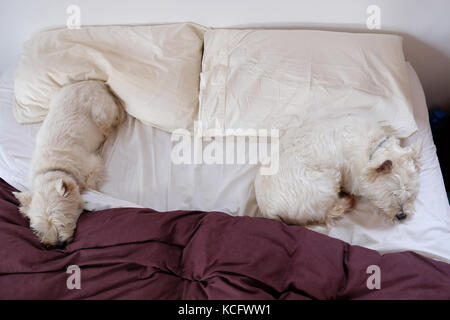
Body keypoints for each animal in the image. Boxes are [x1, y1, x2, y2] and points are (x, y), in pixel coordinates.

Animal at [14, 80, 123, 248]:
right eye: (40, 228)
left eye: (61, 220)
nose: (58, 244)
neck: (53, 169)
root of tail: (92, 82)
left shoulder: (92, 162)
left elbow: (91, 183)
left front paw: (93, 189)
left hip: (101, 113)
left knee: (111, 122)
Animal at [255, 115, 424, 225]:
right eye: (392, 194)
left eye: (410, 195)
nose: (402, 216)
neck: (372, 149)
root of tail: (269, 210)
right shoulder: (352, 175)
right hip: (325, 183)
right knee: (327, 213)